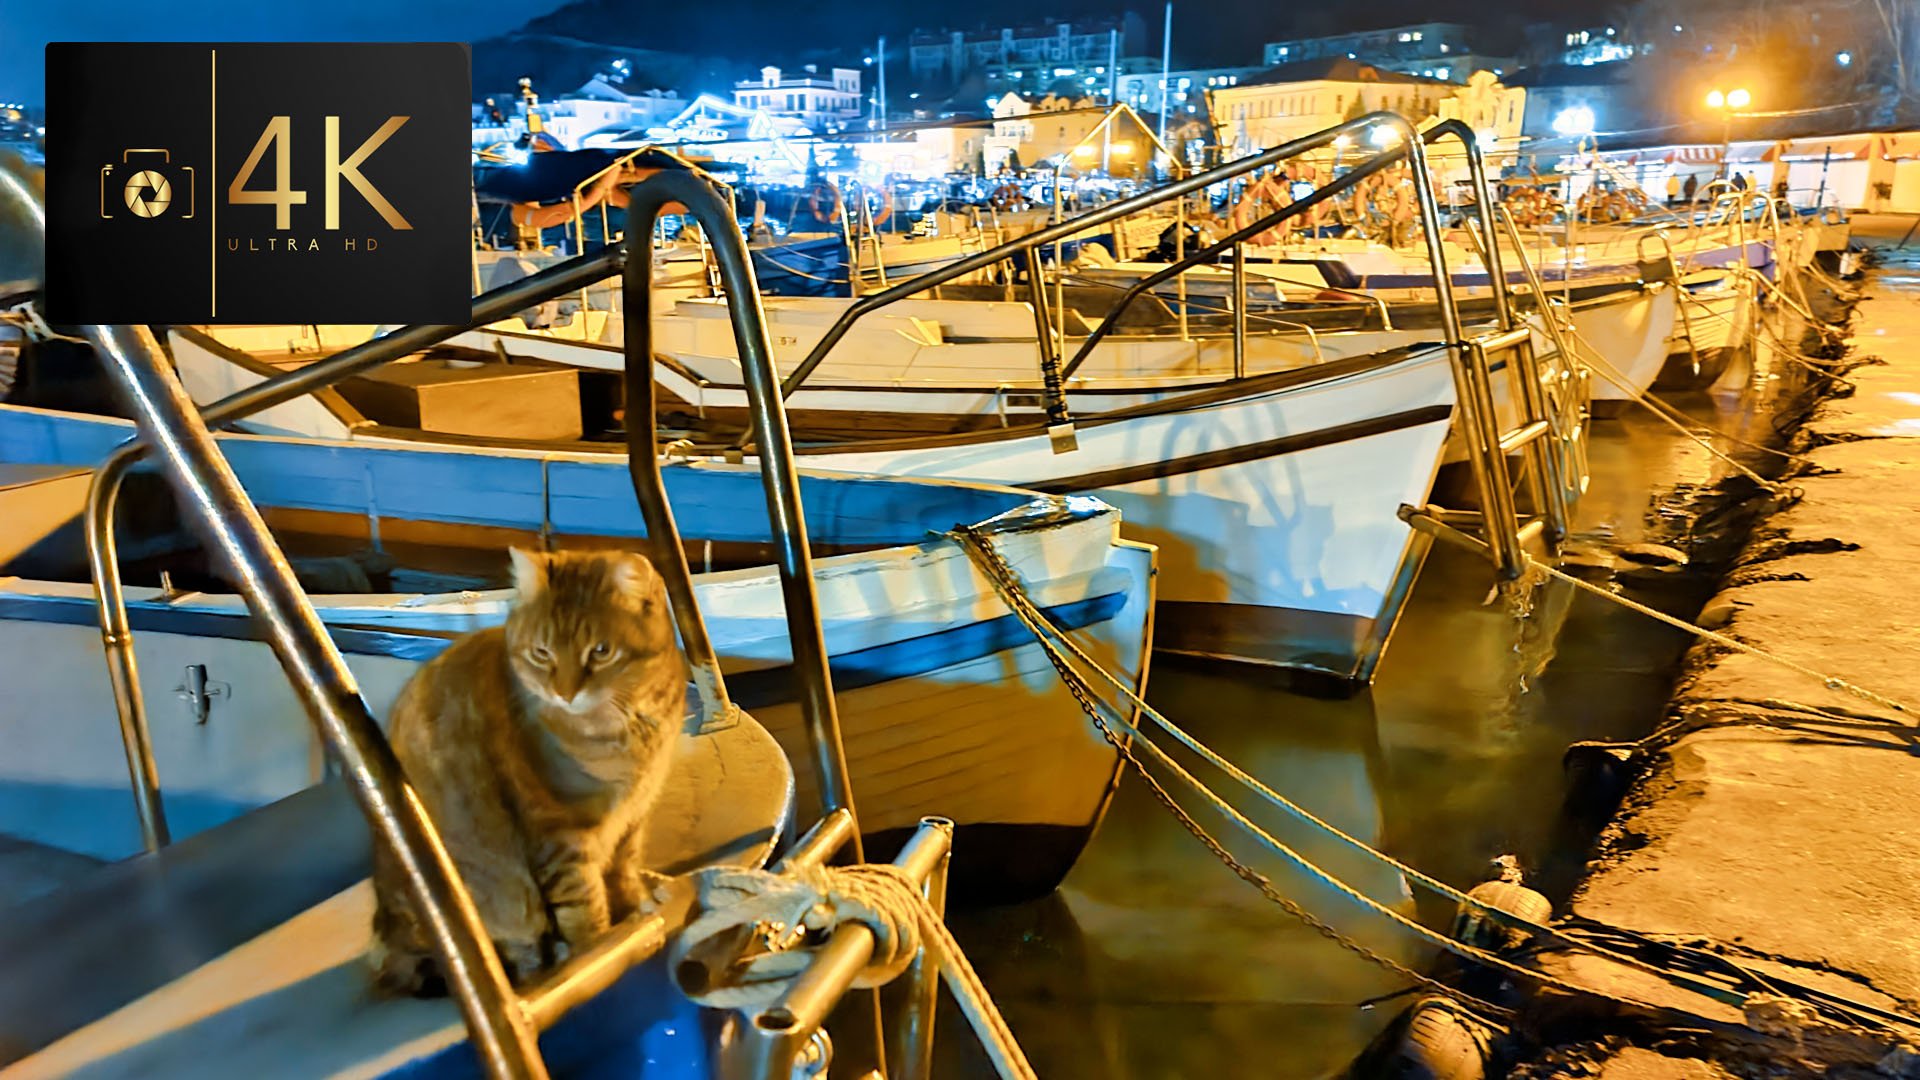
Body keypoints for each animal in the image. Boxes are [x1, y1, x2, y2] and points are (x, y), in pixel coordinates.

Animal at [371, 547, 687, 994]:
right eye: (542, 653)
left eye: (601, 651)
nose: (566, 694)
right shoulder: (560, 838)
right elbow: (585, 907)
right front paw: (602, 946)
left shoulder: (633, 817)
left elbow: (624, 868)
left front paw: (638, 902)